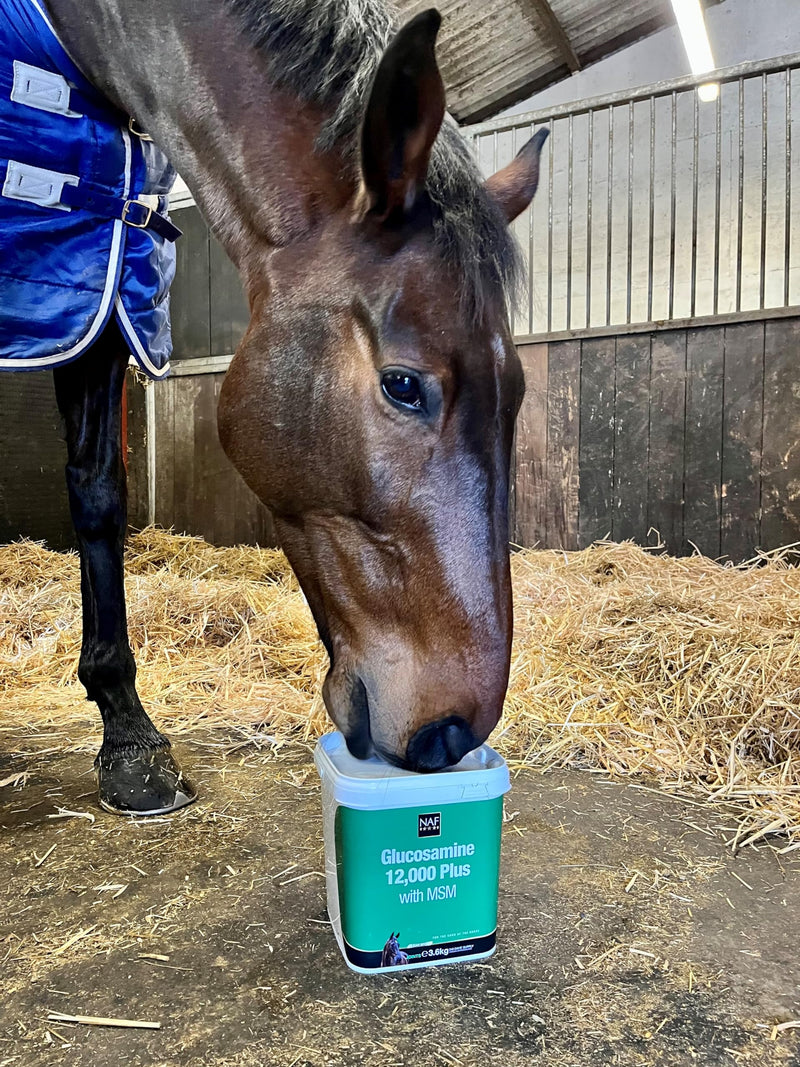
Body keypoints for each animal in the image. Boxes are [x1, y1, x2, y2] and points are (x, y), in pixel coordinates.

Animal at [0, 0, 547, 814]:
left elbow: (98, 497)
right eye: (404, 384)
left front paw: (129, 739)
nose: (449, 734)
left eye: (515, 394)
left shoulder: (101, 289)